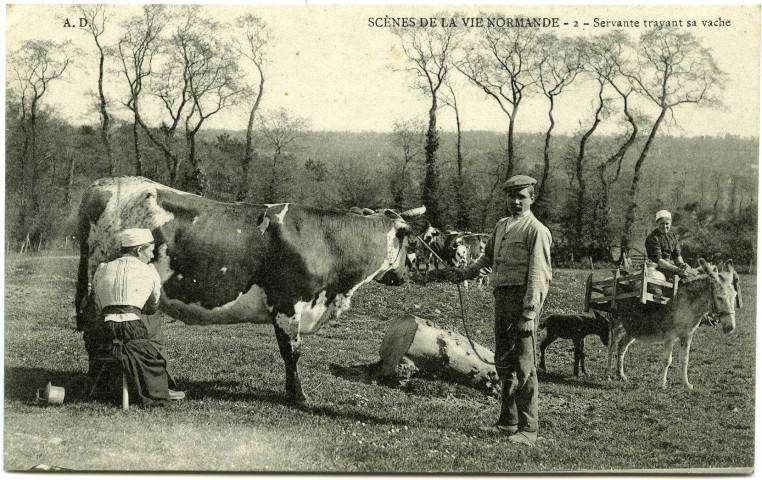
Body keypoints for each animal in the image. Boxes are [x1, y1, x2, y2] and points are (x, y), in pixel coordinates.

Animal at [75, 177, 428, 403]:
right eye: (408, 241)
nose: (406, 274)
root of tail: (104, 184)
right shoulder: (289, 304)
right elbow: (292, 352)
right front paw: (299, 396)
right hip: (98, 285)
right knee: (95, 337)